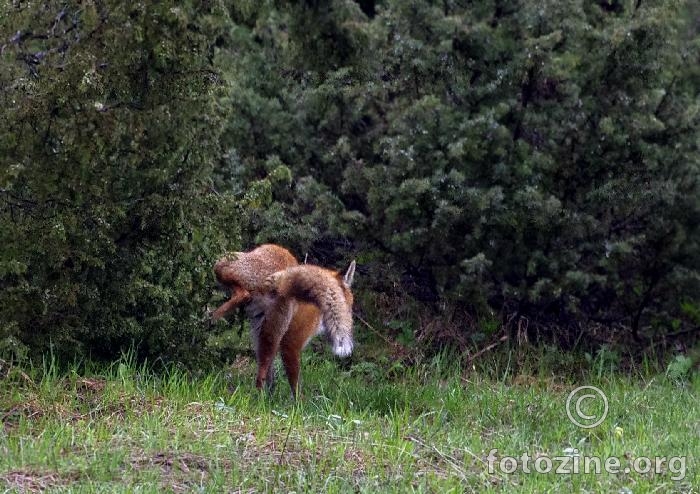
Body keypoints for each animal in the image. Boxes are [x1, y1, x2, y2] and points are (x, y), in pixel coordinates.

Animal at [211, 244, 356, 398]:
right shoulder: (291, 343)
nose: (350, 312)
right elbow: (295, 384)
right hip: (223, 260)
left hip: (265, 333)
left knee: (263, 370)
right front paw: (299, 404)